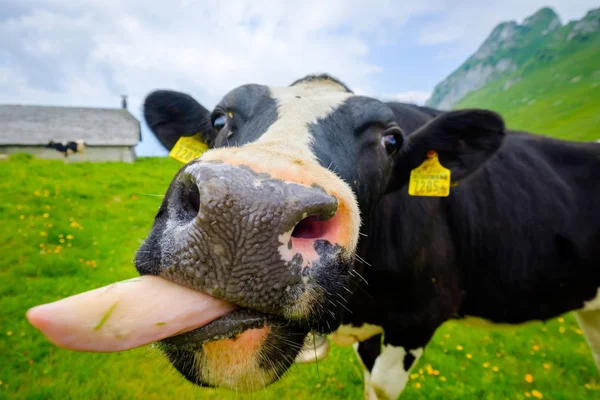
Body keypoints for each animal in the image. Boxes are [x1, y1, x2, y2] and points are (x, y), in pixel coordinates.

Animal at [136, 74, 600, 396]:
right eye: (219, 118)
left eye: (391, 141)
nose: (247, 211)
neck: (356, 307)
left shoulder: (417, 319)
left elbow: (380, 384)